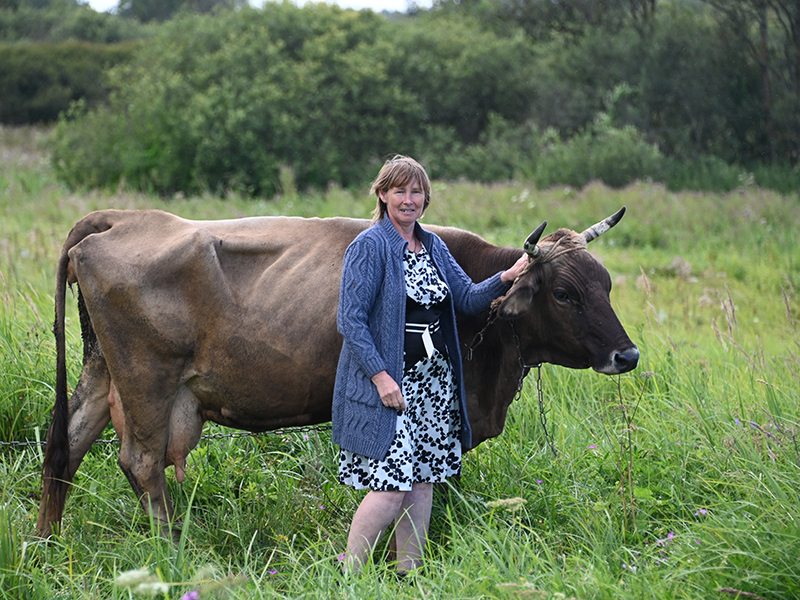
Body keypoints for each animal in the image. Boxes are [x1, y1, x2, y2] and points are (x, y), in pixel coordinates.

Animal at [36, 209, 636, 536]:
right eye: (565, 293)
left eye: (607, 284)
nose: (627, 356)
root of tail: (124, 218)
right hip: (147, 382)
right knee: (140, 462)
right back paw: (169, 550)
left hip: (102, 372)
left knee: (66, 444)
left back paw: (48, 543)